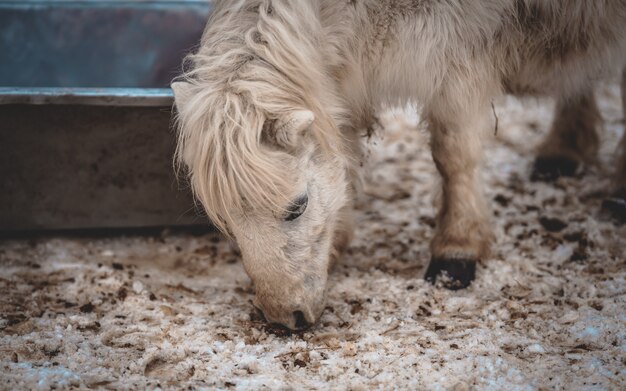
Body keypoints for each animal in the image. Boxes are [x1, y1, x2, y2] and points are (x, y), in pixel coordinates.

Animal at [173, 0, 624, 330]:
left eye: (297, 207)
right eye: (229, 223)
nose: (285, 317)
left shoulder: (456, 58)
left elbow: (454, 156)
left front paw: (457, 251)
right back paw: (564, 150)